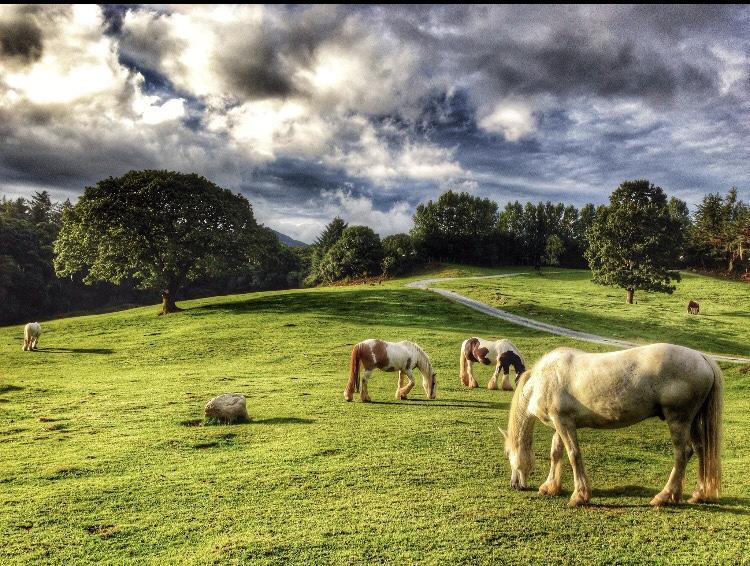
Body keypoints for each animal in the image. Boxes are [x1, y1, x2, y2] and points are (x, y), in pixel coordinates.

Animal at [502, 344, 724, 508]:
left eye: (507, 454)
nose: (514, 485)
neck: (545, 378)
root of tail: (702, 357)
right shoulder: (561, 424)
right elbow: (556, 453)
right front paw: (550, 487)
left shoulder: (564, 422)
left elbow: (574, 454)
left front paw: (579, 496)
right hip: (692, 421)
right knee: (700, 450)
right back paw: (696, 494)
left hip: (678, 419)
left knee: (683, 453)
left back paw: (663, 496)